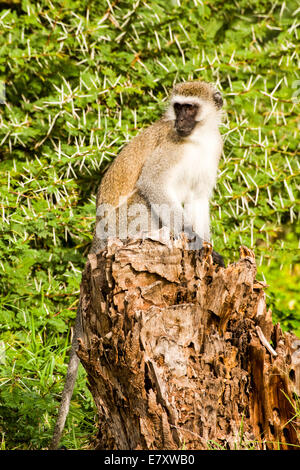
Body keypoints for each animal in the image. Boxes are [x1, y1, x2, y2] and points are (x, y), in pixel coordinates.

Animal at [50, 80, 225, 448]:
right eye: (178, 108)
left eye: (190, 108)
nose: (180, 121)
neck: (197, 139)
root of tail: (98, 235)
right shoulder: (171, 148)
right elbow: (152, 185)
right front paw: (195, 241)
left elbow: (198, 198)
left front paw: (209, 251)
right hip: (120, 224)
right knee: (145, 199)